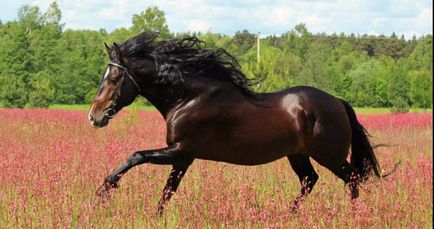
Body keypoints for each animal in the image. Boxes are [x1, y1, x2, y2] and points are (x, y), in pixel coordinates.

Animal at [89, 31, 384, 214]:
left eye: (113, 79)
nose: (94, 116)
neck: (189, 98)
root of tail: (338, 102)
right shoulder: (182, 158)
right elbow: (167, 191)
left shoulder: (182, 151)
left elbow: (137, 156)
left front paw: (105, 189)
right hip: (298, 155)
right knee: (310, 180)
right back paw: (289, 214)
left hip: (329, 155)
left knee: (352, 179)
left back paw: (354, 214)